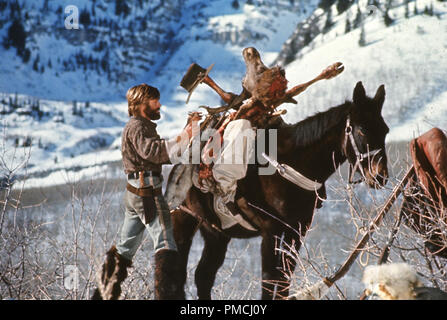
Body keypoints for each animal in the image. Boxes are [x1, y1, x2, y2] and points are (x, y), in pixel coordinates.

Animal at [170, 81, 390, 298]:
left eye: (385, 130)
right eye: (362, 130)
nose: (380, 175)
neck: (292, 163)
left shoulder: (297, 230)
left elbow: (284, 281)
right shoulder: (271, 231)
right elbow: (269, 280)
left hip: (216, 232)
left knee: (204, 276)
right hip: (184, 220)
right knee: (177, 274)